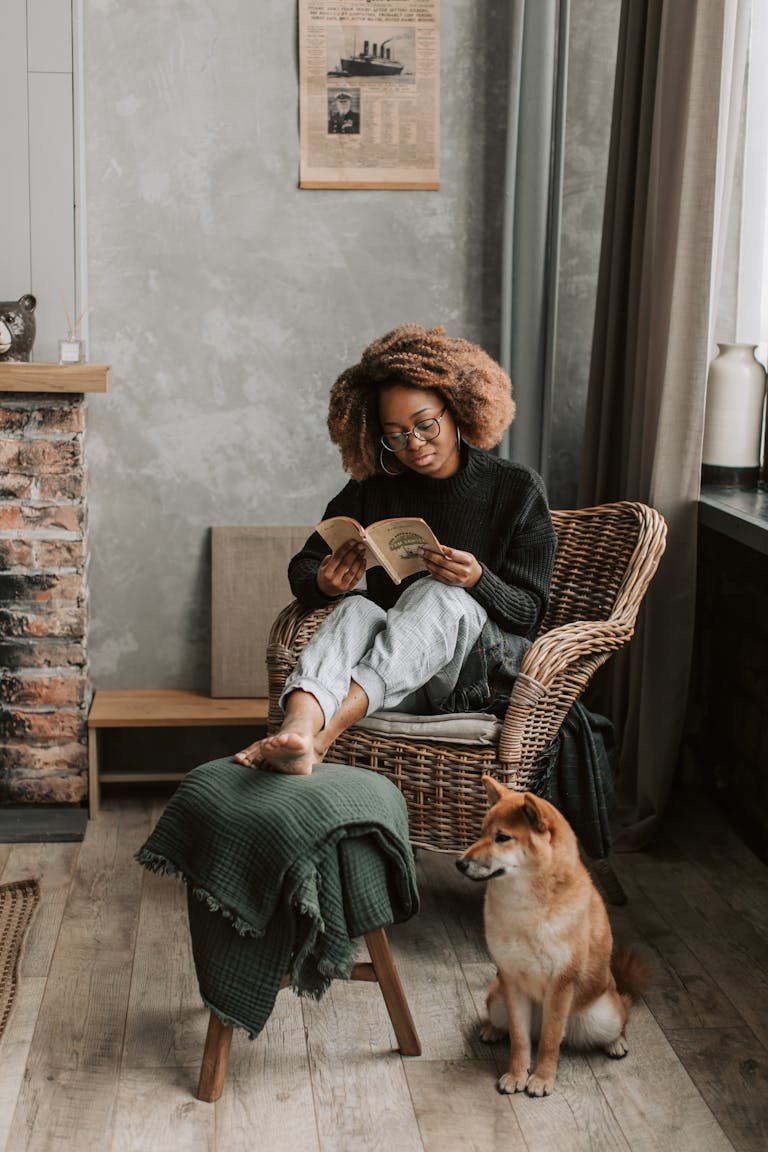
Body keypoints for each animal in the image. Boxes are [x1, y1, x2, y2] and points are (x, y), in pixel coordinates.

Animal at [460, 778, 644, 1092]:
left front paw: (542, 1079)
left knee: (622, 1013)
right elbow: (520, 1040)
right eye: (481, 832)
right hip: (497, 1000)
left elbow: (549, 1041)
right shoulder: (511, 980)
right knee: (514, 1028)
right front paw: (517, 1075)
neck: (526, 909)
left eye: (502, 837)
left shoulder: (561, 984)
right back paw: (492, 1030)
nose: (459, 863)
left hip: (603, 1013)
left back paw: (616, 1042)